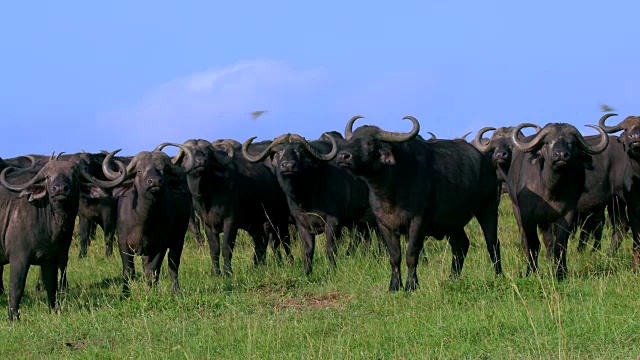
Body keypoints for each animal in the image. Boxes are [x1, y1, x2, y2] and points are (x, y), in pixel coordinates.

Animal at [0, 150, 126, 320]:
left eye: (74, 175)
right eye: (48, 176)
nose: (60, 189)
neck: (50, 226)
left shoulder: (50, 259)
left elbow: (51, 285)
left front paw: (54, 310)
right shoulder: (18, 258)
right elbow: (17, 287)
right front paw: (13, 317)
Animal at [101, 143, 196, 296]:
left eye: (162, 170)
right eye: (139, 171)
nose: (155, 182)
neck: (144, 222)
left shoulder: (160, 245)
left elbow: (153, 271)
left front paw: (151, 292)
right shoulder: (123, 243)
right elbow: (128, 271)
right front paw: (125, 295)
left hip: (178, 240)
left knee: (173, 265)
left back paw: (175, 290)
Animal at [179, 139, 292, 276]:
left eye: (208, 153)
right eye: (188, 154)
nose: (201, 162)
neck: (208, 196)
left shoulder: (231, 221)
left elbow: (227, 248)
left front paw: (227, 273)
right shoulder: (208, 225)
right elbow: (214, 250)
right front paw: (216, 273)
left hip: (277, 218)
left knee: (281, 240)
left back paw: (286, 262)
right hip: (256, 223)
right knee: (261, 241)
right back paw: (257, 265)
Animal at [332, 115, 502, 292]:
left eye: (369, 142)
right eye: (351, 140)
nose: (343, 156)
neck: (391, 191)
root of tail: (487, 161)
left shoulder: (418, 222)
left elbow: (411, 254)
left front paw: (411, 285)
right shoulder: (384, 225)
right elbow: (394, 256)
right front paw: (394, 286)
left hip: (488, 207)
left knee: (492, 243)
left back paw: (499, 276)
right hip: (452, 222)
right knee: (460, 244)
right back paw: (452, 278)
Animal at [504, 122, 608, 280]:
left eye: (571, 143)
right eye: (548, 142)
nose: (560, 155)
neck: (550, 190)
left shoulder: (567, 215)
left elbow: (560, 243)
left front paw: (560, 273)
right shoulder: (528, 216)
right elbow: (533, 244)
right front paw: (531, 272)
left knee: (549, 241)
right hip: (517, 211)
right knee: (525, 240)